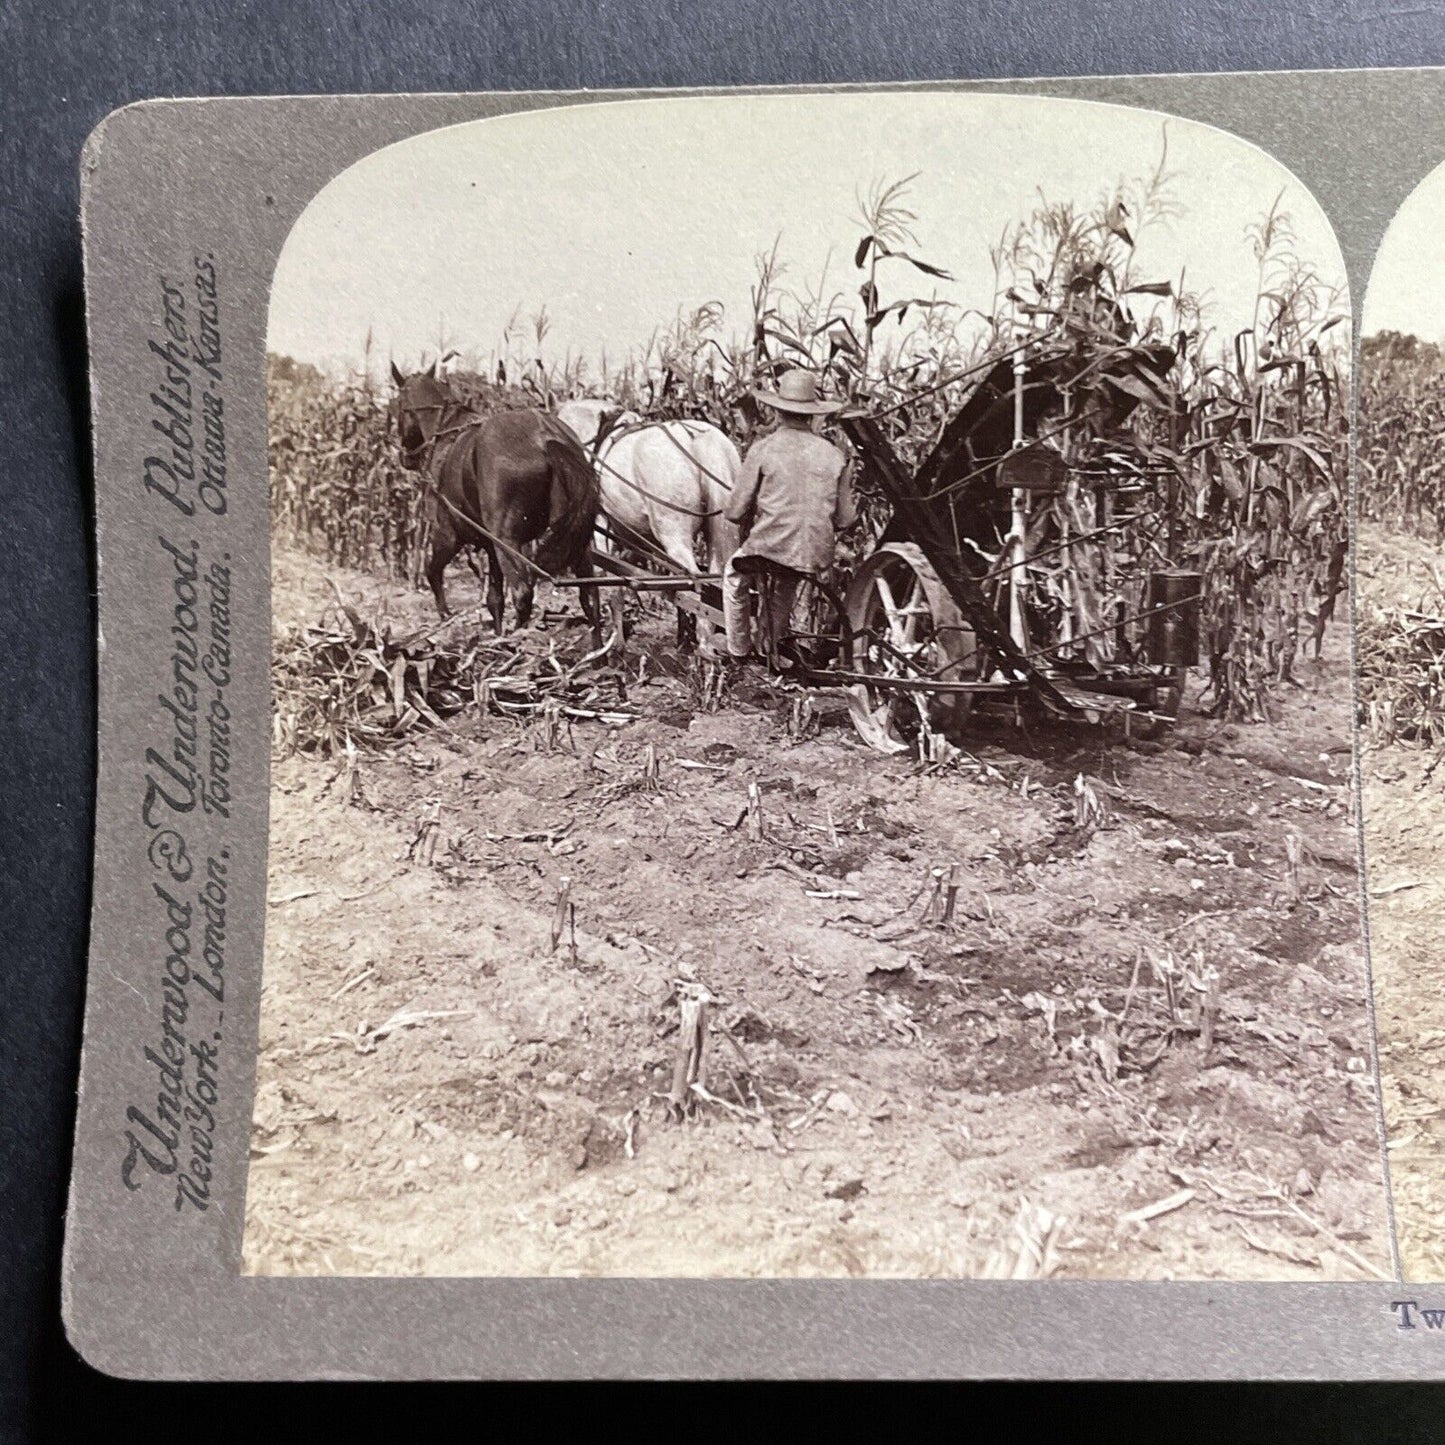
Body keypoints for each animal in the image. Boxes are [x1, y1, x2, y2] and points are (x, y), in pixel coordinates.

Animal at [390, 361, 604, 638]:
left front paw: (445, 615)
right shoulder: (490, 544)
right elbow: (494, 598)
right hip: (575, 539)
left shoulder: (449, 534)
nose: (406, 457)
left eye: (398, 404)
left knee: (523, 594)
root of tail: (546, 436)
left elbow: (432, 571)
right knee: (590, 597)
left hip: (506, 539)